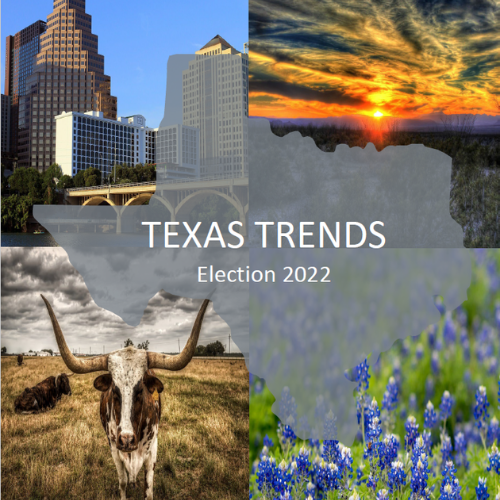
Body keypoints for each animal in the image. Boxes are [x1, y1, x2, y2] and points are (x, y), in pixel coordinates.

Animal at [41, 292, 209, 500]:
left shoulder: (153, 450)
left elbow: (149, 489)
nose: (127, 439)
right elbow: (122, 482)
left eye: (141, 390)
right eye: (114, 389)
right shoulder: (115, 449)